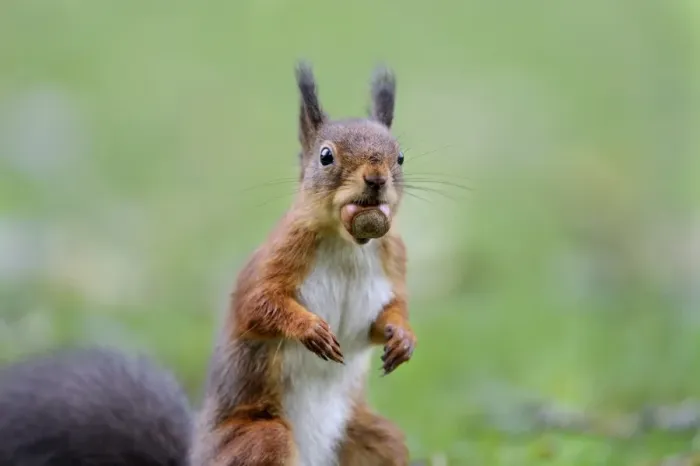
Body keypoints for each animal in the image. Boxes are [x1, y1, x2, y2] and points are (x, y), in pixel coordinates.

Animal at [189, 61, 416, 466]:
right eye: (326, 156)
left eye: (401, 156)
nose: (376, 178)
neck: (348, 244)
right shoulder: (281, 253)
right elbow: (257, 304)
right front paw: (309, 329)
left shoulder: (394, 260)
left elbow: (385, 315)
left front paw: (403, 337)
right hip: (260, 439)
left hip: (372, 438)